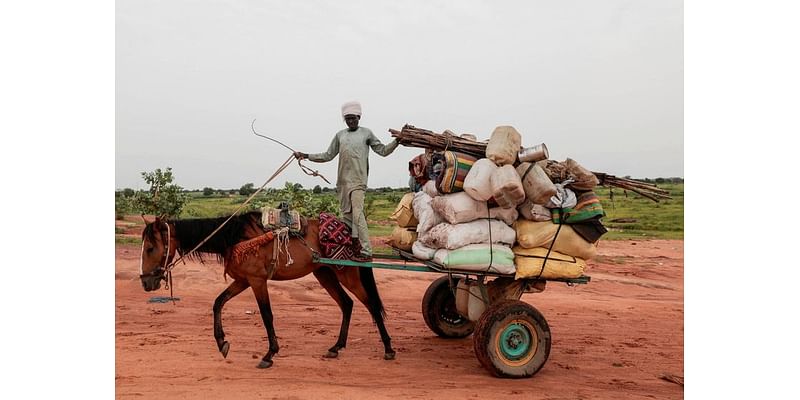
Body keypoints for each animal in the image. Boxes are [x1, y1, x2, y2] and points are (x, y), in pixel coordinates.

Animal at [142, 212, 398, 368]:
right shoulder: (243, 281)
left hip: (348, 273)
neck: (236, 237)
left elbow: (266, 315)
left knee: (371, 305)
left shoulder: (257, 281)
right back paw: (336, 347)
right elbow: (218, 302)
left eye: (151, 247)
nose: (146, 282)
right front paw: (222, 342)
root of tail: (350, 230)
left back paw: (388, 348)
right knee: (347, 303)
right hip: (324, 273)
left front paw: (269, 354)